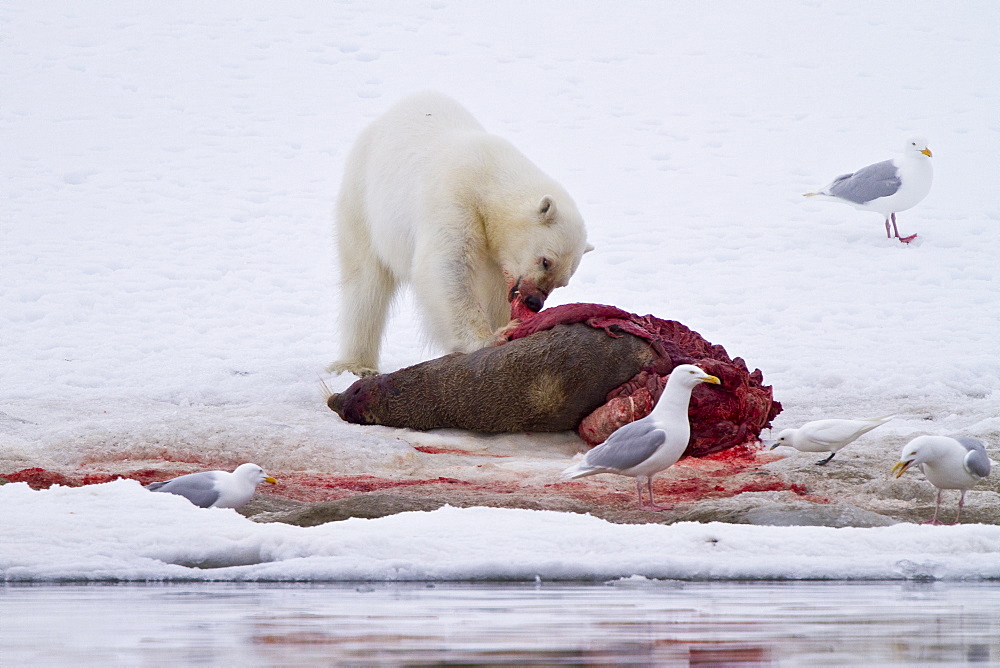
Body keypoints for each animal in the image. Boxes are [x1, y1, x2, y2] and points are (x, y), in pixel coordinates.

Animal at [328, 91, 592, 378]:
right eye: (546, 261)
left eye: (562, 283)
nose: (534, 302)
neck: (490, 176)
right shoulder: (455, 196)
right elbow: (448, 266)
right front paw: (490, 338)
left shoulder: (496, 255)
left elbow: (495, 290)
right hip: (363, 201)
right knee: (366, 281)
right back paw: (357, 365)